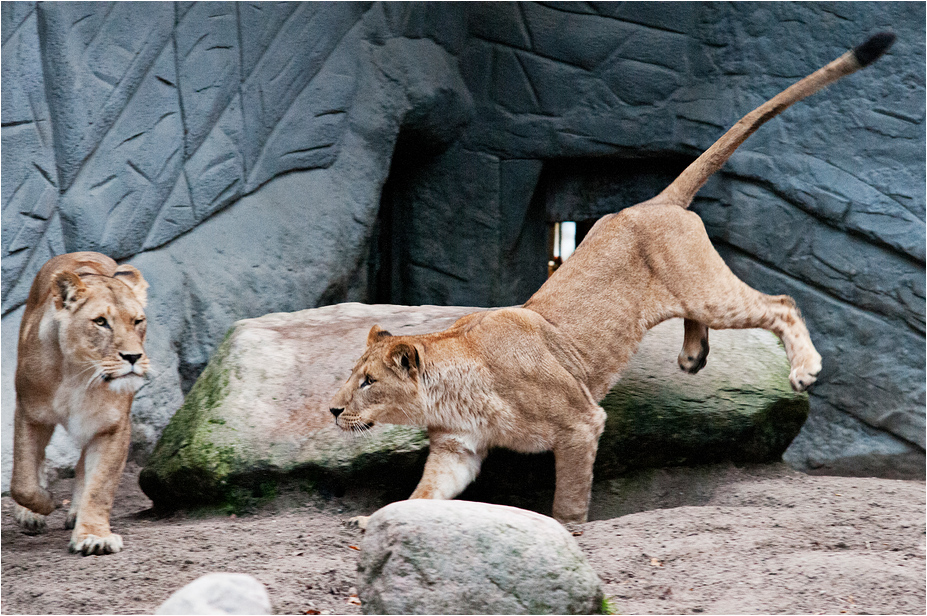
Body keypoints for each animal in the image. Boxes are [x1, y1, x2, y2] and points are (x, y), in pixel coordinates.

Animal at [11, 251, 150, 555]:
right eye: (100, 322)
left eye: (137, 321)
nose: (133, 357)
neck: (79, 374)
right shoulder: (30, 414)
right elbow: (23, 480)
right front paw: (44, 503)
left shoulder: (112, 425)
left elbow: (100, 486)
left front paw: (93, 536)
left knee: (83, 467)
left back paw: (75, 514)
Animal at [330, 33, 895, 526]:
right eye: (353, 375)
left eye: (369, 381)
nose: (334, 409)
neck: (452, 390)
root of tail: (654, 202)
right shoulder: (457, 448)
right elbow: (421, 496)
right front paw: (373, 520)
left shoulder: (580, 422)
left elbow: (570, 494)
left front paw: (570, 529)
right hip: (693, 291)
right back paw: (693, 356)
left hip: (709, 291)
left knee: (781, 303)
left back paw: (803, 368)